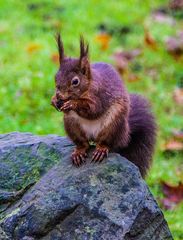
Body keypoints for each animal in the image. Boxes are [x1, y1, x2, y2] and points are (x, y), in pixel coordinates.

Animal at [50, 33, 157, 177]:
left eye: (75, 81)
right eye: (56, 76)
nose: (60, 95)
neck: (88, 86)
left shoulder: (100, 95)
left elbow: (93, 110)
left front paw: (72, 103)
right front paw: (53, 100)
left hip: (113, 124)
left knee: (106, 143)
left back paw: (101, 149)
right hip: (72, 125)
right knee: (83, 144)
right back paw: (79, 152)